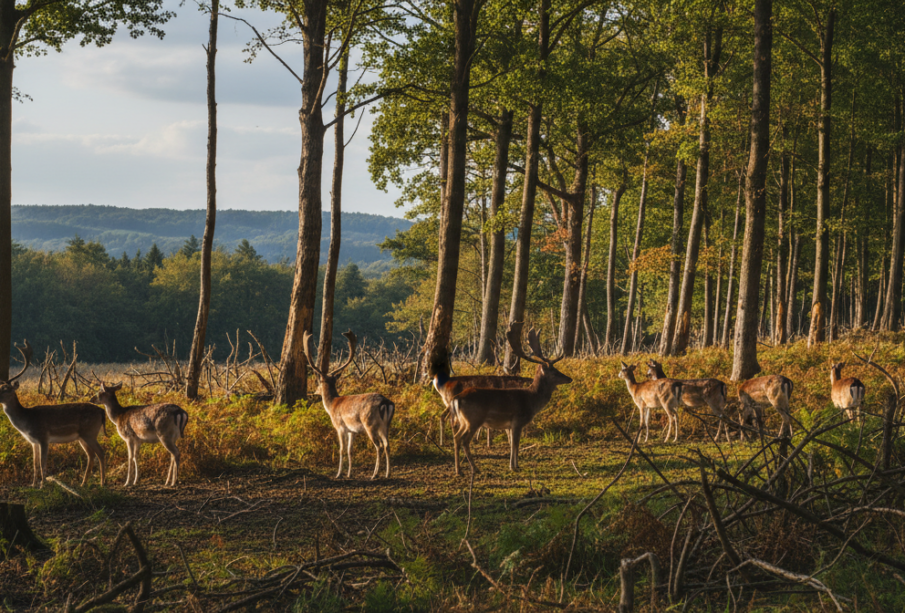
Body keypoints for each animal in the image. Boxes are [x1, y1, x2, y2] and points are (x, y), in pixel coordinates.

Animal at [0, 340, 107, 488]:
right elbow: (34, 464)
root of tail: (102, 411)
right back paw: (83, 483)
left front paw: (42, 485)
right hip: (82, 436)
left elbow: (42, 463)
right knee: (91, 455)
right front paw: (33, 485)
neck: (26, 421)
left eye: (5, 389)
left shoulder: (43, 437)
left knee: (100, 453)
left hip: (90, 432)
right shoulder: (33, 442)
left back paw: (102, 483)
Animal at [303, 329, 394, 480]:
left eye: (319, 382)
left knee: (379, 446)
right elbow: (350, 450)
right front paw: (349, 474)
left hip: (370, 424)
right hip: (386, 425)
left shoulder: (340, 427)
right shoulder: (353, 431)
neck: (332, 406)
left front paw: (338, 474)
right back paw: (387, 473)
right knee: (387, 445)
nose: (315, 391)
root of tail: (385, 403)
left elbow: (341, 450)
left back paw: (374, 474)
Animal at [449, 322, 572, 476]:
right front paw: (512, 466)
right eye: (553, 371)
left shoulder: (510, 425)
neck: (531, 400)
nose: (569, 378)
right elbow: (515, 443)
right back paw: (475, 468)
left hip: (463, 420)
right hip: (474, 419)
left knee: (456, 437)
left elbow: (513, 443)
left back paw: (458, 470)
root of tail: (456, 398)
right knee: (464, 440)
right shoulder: (517, 420)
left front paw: (516, 465)